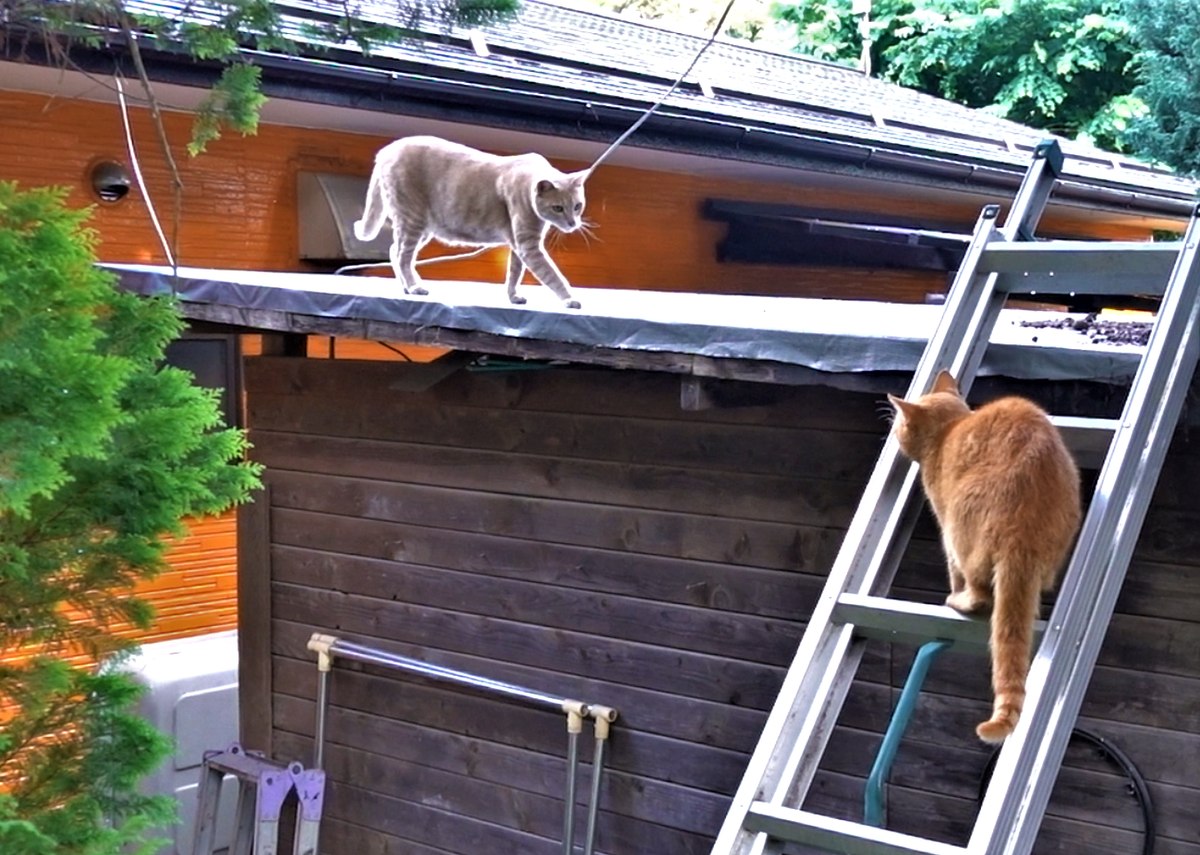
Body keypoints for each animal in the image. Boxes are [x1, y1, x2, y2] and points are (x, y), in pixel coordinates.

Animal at [350, 138, 585, 312]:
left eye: (577, 206)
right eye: (557, 208)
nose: (573, 224)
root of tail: (386, 151)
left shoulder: (518, 244)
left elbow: (514, 273)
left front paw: (513, 296)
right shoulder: (529, 246)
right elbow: (552, 275)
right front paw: (569, 299)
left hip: (420, 226)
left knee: (394, 251)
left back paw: (406, 288)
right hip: (413, 219)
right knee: (402, 256)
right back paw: (415, 287)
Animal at [892, 369, 1080, 744]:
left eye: (899, 423)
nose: (893, 432)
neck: (950, 428)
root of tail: (1023, 533)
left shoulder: (944, 524)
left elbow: (954, 572)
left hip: (958, 527)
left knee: (978, 594)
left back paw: (958, 600)